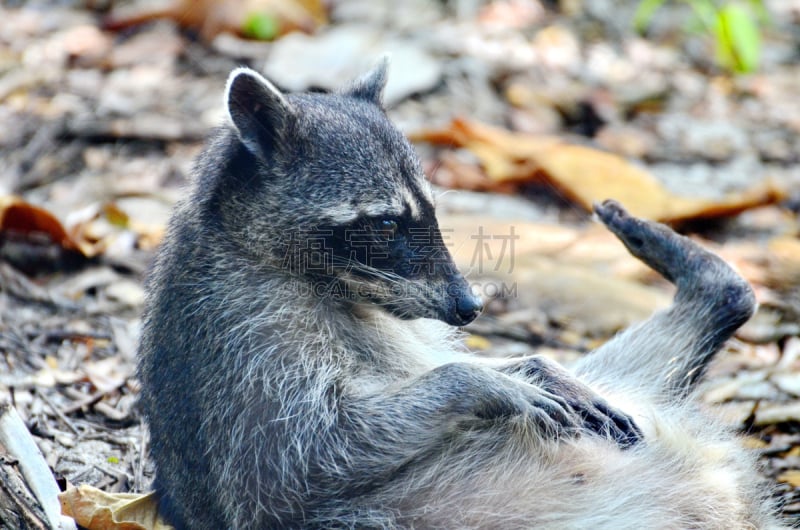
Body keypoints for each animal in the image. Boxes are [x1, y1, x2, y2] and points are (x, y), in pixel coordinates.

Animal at [136, 63, 780, 528]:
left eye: (433, 213)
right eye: (385, 225)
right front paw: (474, 382)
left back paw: (713, 286)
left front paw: (528, 365)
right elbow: (296, 462)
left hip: (630, 396)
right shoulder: (241, 337)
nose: (470, 308)